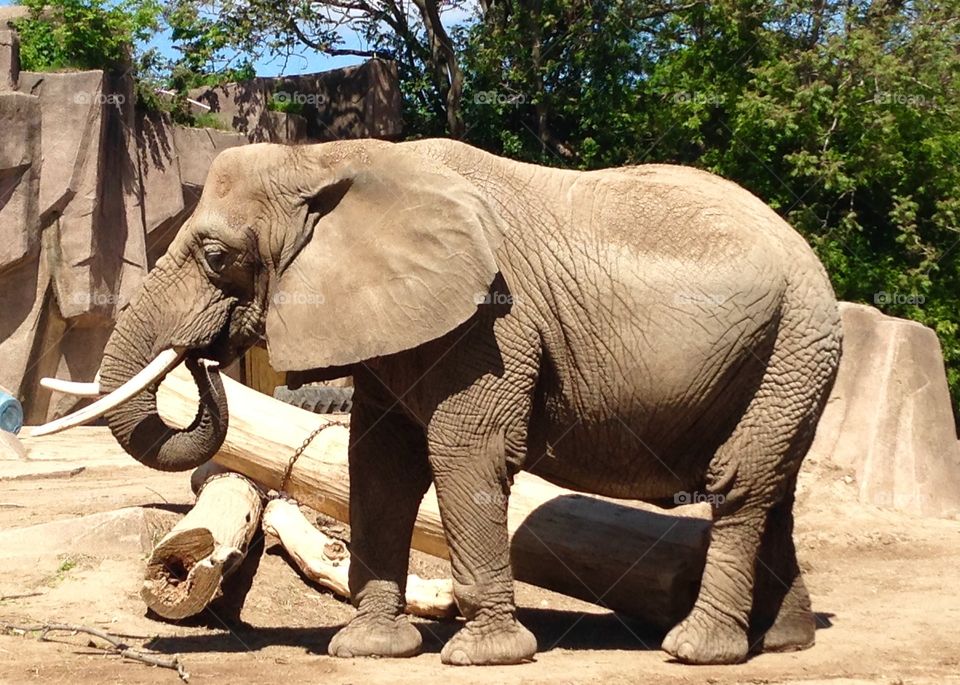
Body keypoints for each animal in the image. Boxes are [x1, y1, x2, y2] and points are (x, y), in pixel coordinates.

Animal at [37, 138, 842, 666]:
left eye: (215, 256)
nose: (205, 357)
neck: (328, 157)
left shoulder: (493, 320)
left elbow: (464, 455)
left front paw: (483, 657)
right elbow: (379, 465)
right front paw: (369, 648)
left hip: (794, 341)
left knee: (742, 482)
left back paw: (698, 651)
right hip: (791, 354)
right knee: (775, 487)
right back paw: (782, 641)